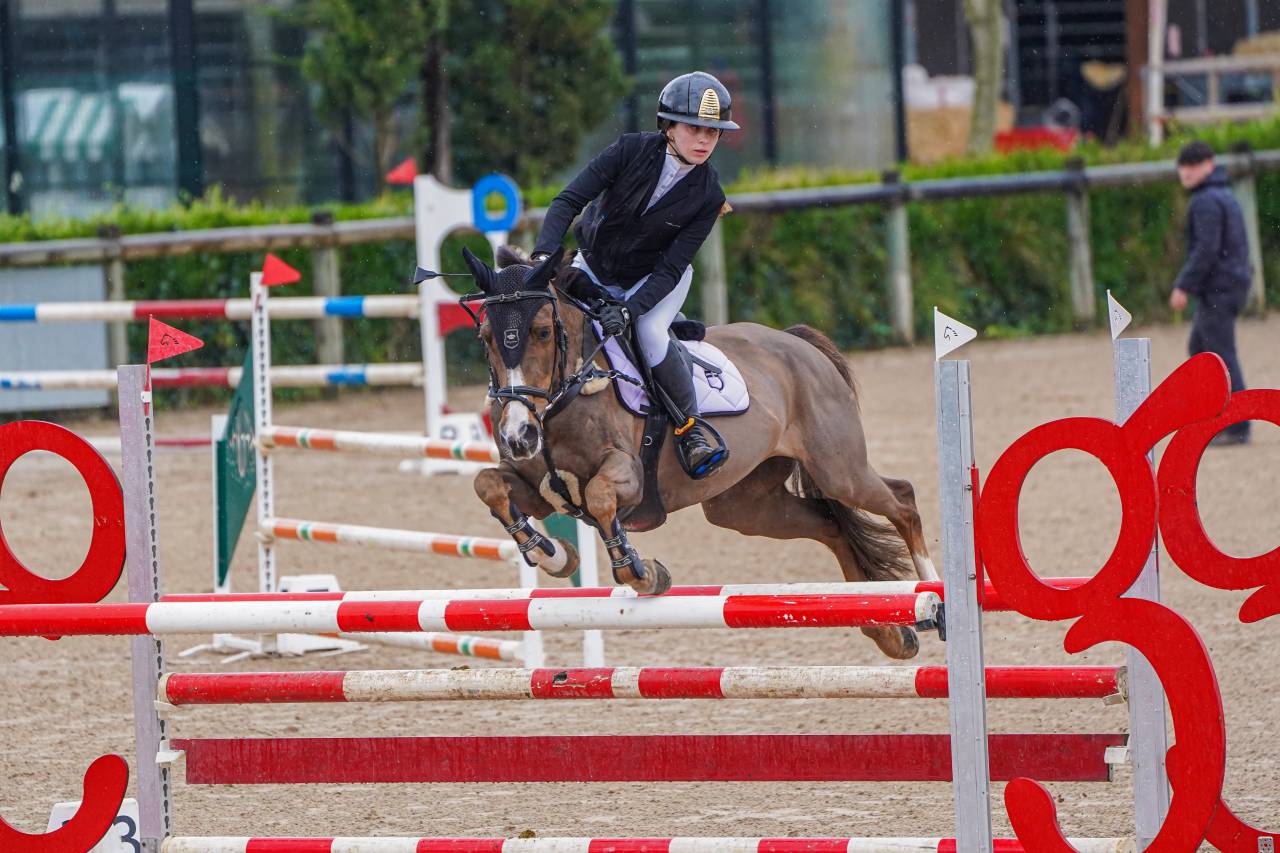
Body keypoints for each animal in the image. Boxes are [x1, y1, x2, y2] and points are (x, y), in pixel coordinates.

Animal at [461, 245, 938, 660]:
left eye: (542, 332)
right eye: (484, 337)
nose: (519, 435)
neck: (566, 396)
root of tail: (798, 344)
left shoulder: (629, 478)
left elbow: (599, 498)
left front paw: (642, 572)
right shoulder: (539, 491)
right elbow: (488, 485)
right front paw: (553, 553)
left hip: (840, 469)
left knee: (902, 498)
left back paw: (932, 599)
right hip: (744, 506)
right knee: (831, 527)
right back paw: (889, 633)